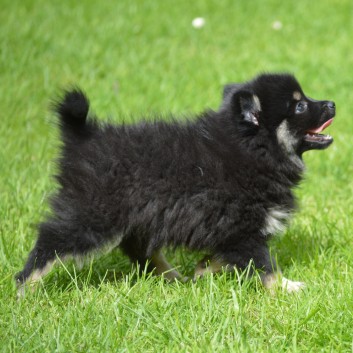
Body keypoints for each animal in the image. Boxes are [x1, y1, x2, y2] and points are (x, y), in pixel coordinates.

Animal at [16, 74, 334, 294]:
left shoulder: (231, 230)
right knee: (51, 240)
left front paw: (203, 269)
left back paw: (173, 277)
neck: (254, 150)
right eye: (300, 106)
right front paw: (286, 287)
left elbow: (227, 257)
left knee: (140, 250)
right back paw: (24, 287)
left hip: (142, 214)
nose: (332, 103)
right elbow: (263, 264)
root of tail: (81, 137)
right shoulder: (243, 226)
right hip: (94, 214)